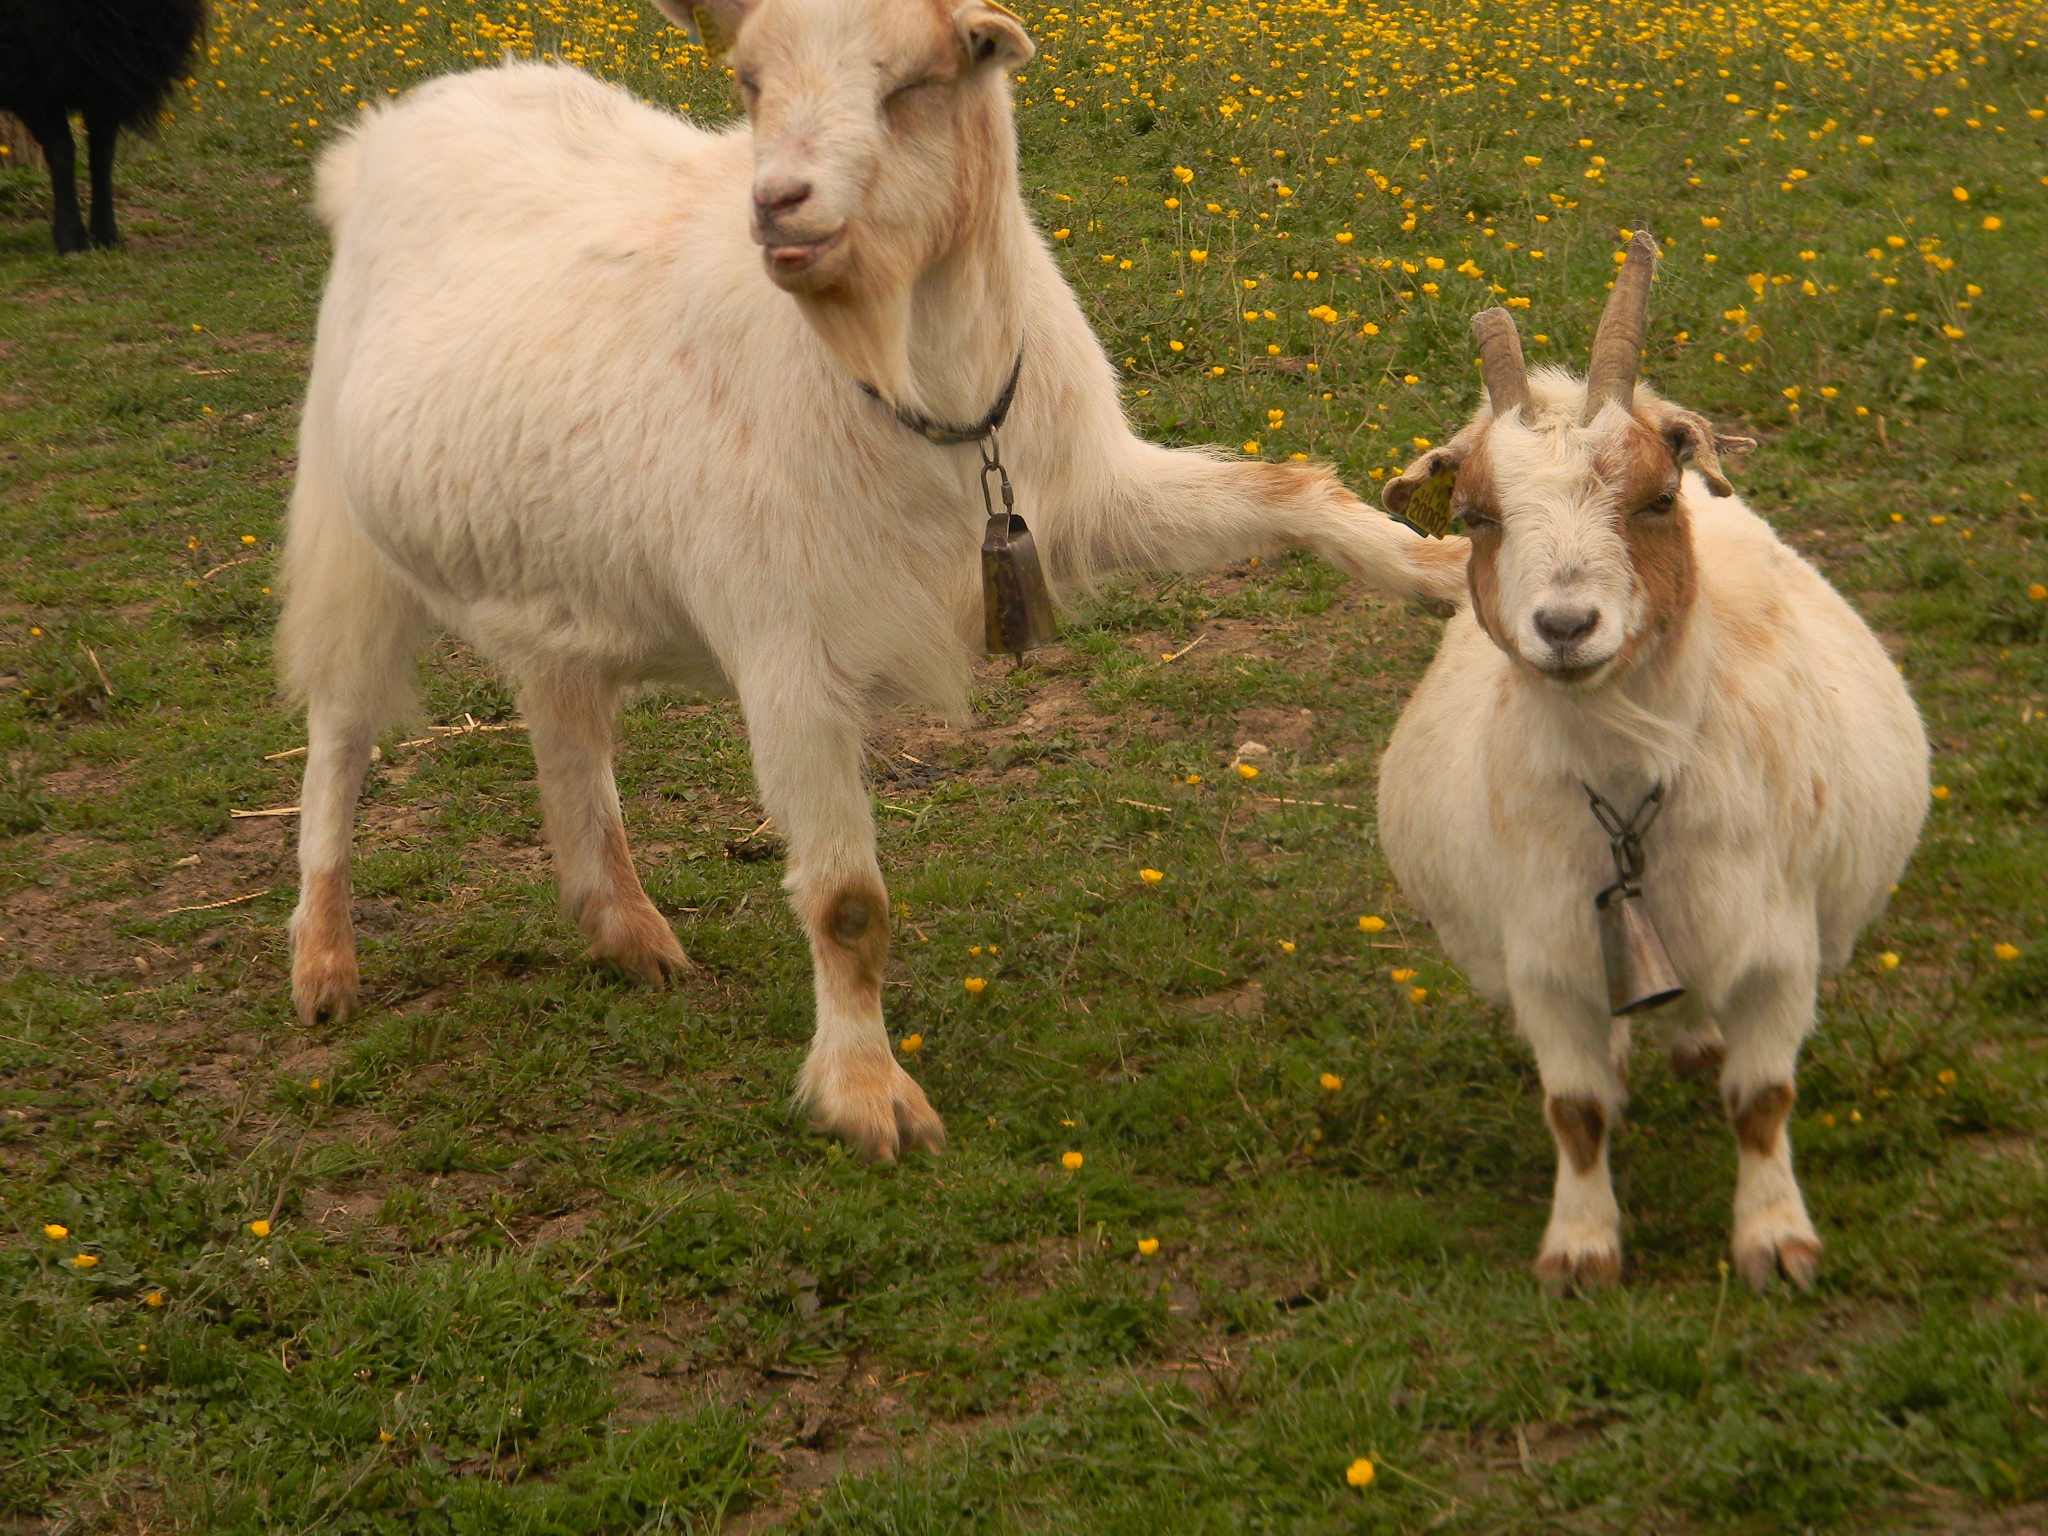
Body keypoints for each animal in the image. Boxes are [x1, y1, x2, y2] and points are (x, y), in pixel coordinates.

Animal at [276, 0, 1474, 1163]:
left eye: (917, 80)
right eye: (750, 81)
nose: (779, 206)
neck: (918, 389)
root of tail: (390, 125)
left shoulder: (1089, 496)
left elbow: (1286, 488)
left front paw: (1441, 568)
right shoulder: (783, 648)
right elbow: (847, 904)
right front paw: (865, 1094)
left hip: (549, 565)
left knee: (561, 720)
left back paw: (627, 930)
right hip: (346, 527)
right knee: (339, 735)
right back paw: (324, 962)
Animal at [1368, 225, 1925, 1286]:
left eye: (1657, 498)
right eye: (1477, 517)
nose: (1565, 626)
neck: (1632, 792)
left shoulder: (1778, 948)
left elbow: (1763, 1101)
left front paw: (1775, 1239)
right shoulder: (1544, 958)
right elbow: (1575, 1109)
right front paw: (1581, 1246)